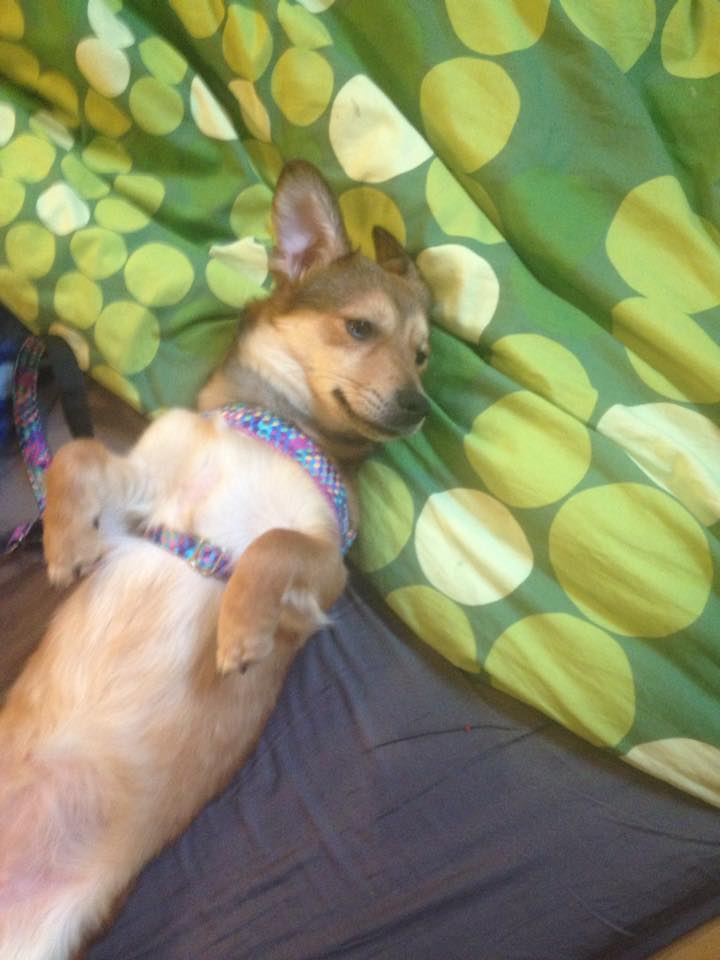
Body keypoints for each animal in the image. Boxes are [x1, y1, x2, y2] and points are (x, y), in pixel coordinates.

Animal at [0, 160, 431, 960]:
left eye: (423, 357)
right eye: (360, 328)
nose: (420, 407)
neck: (274, 424)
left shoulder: (324, 571)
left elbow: (266, 546)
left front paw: (239, 634)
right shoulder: (139, 499)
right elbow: (76, 457)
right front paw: (65, 544)